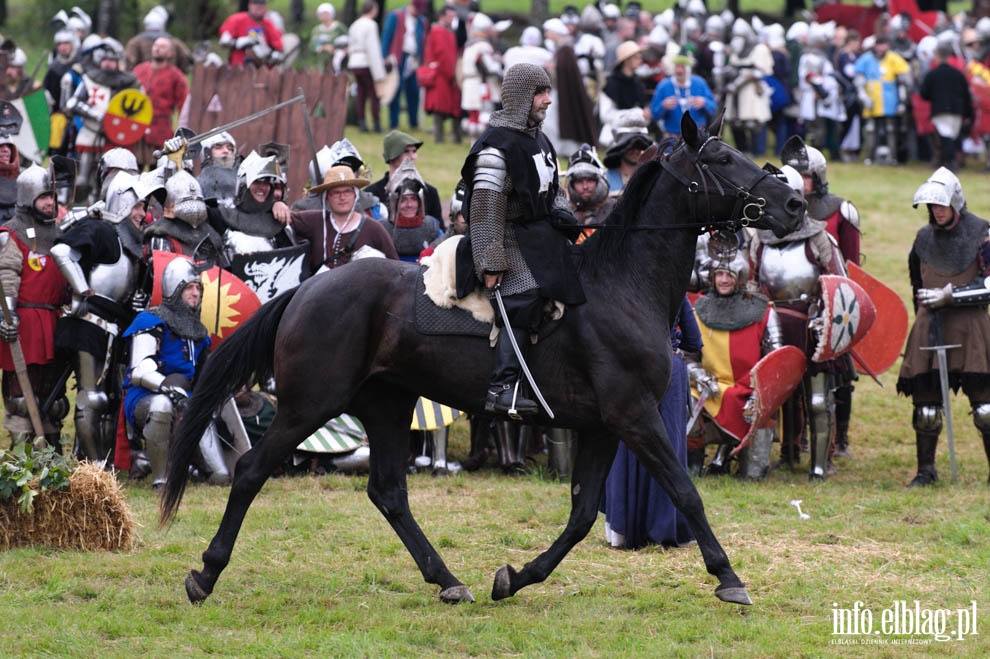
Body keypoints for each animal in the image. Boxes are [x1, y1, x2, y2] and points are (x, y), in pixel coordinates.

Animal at [161, 113, 808, 608]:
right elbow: (685, 492)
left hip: (387, 403)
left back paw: (447, 581)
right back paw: (205, 574)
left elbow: (582, 515)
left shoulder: (606, 427)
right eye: (721, 159)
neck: (621, 284)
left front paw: (515, 578)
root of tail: (307, 289)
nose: (795, 202)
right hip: (310, 403)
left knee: (389, 492)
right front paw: (729, 578)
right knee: (252, 471)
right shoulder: (634, 418)